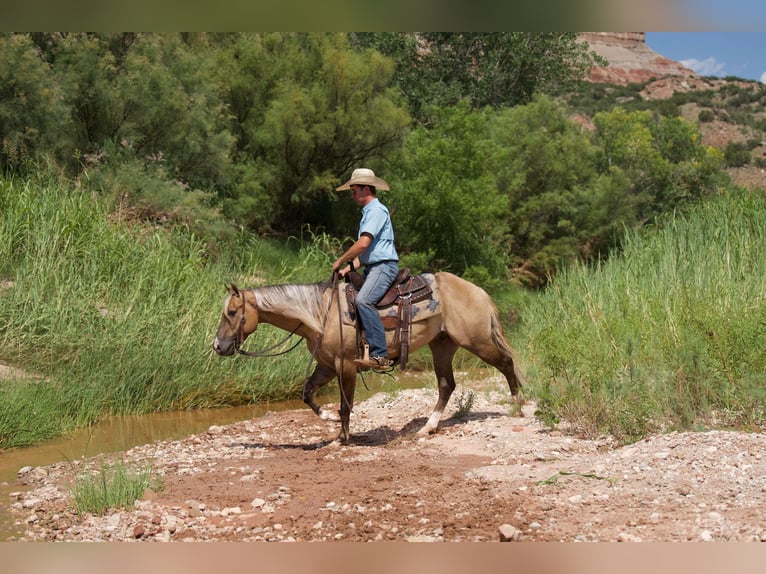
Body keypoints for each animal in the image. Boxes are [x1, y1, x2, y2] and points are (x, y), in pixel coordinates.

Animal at [212, 272, 525, 444]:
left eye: (232, 313)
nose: (217, 346)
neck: (320, 313)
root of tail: (478, 291)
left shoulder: (345, 364)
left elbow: (345, 405)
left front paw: (342, 438)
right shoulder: (326, 365)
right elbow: (307, 393)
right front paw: (328, 420)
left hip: (477, 341)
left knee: (506, 364)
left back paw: (517, 407)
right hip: (443, 346)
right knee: (447, 385)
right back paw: (428, 427)